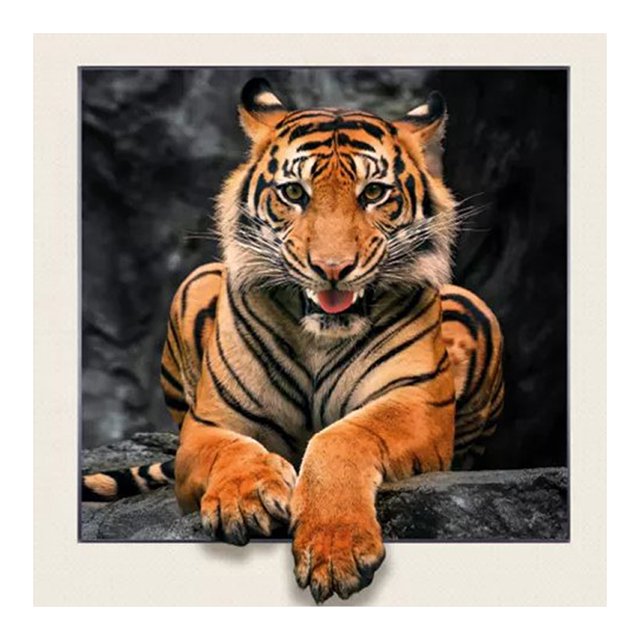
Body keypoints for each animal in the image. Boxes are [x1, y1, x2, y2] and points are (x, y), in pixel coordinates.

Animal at [83, 77, 504, 604]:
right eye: (293, 193)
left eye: (373, 193)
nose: (332, 268)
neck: (319, 338)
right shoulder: (210, 423)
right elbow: (231, 450)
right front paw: (247, 499)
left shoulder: (414, 402)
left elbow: (341, 436)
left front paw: (335, 548)